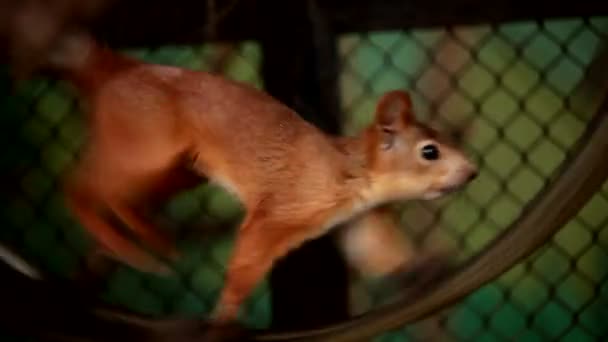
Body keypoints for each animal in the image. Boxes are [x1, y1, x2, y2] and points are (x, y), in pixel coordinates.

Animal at [44, 32, 480, 324]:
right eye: (429, 151)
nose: (473, 171)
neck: (352, 170)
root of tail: (122, 70)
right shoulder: (284, 208)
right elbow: (249, 256)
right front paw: (226, 313)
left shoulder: (355, 221)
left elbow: (377, 253)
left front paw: (424, 268)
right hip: (147, 148)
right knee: (82, 186)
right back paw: (128, 240)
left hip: (176, 173)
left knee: (115, 196)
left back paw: (148, 239)